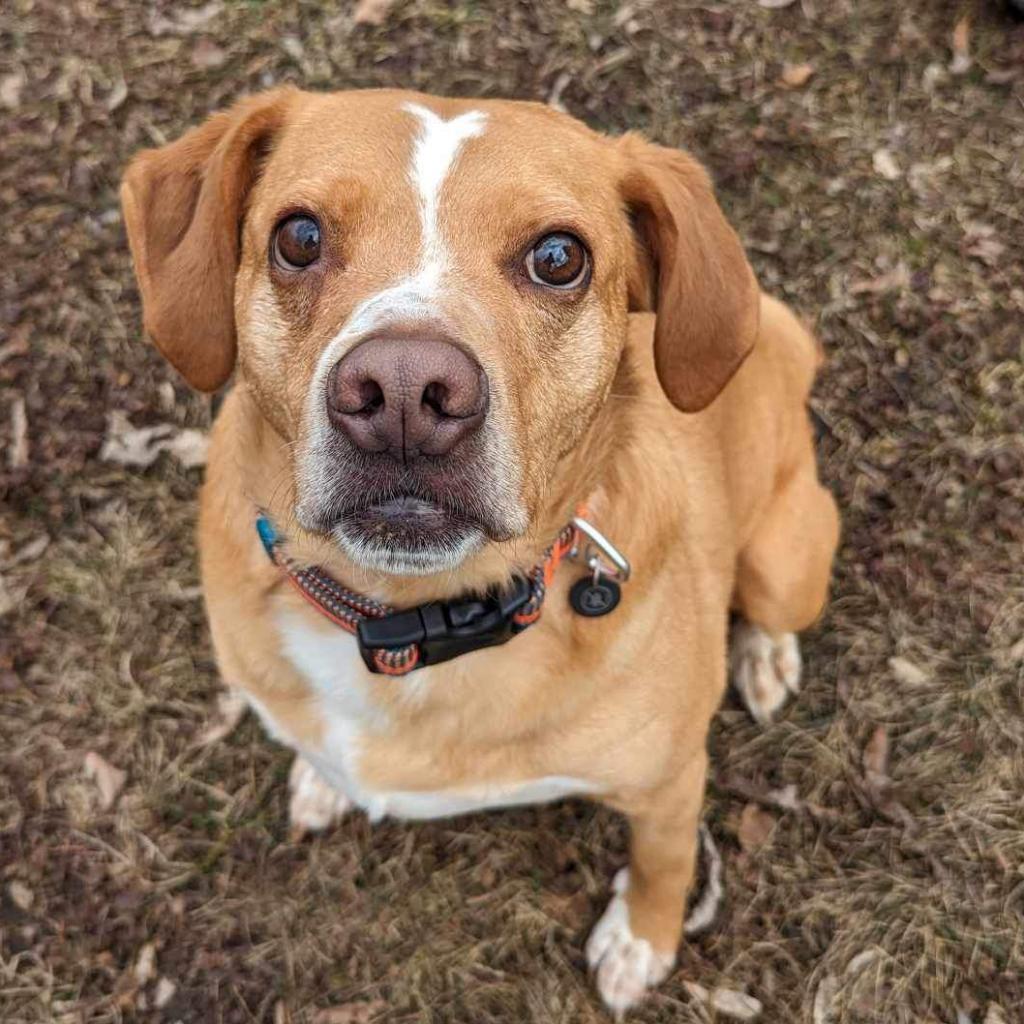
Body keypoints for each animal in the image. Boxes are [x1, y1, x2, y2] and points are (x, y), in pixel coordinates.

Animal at [121, 88, 839, 1015]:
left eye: (559, 257)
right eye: (299, 237)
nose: (402, 394)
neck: (413, 622)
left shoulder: (670, 782)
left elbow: (664, 862)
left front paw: (642, 940)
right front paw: (322, 776)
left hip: (786, 561)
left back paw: (763, 655)